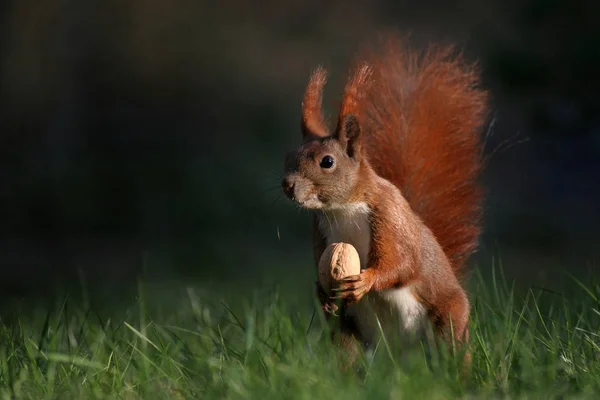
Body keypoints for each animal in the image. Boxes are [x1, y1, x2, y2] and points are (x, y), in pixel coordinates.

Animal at [282, 35, 488, 360]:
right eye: (289, 156)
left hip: (448, 317)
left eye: (327, 162)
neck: (343, 208)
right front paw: (321, 293)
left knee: (451, 347)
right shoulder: (319, 228)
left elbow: (402, 263)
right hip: (348, 331)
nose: (287, 185)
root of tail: (400, 355)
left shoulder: (389, 215)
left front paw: (366, 281)